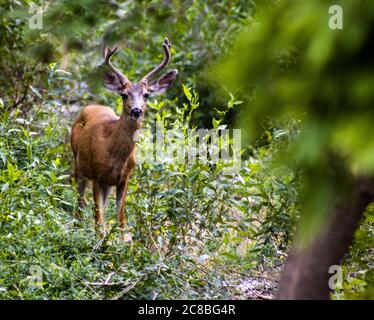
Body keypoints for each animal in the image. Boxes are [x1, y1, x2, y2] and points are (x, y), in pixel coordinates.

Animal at [70, 37, 178, 239]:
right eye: (124, 95)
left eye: (147, 94)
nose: (136, 110)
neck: (115, 154)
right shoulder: (97, 174)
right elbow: (98, 216)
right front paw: (100, 240)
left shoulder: (124, 177)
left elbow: (120, 216)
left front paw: (124, 240)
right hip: (78, 165)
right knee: (80, 204)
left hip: (106, 183)